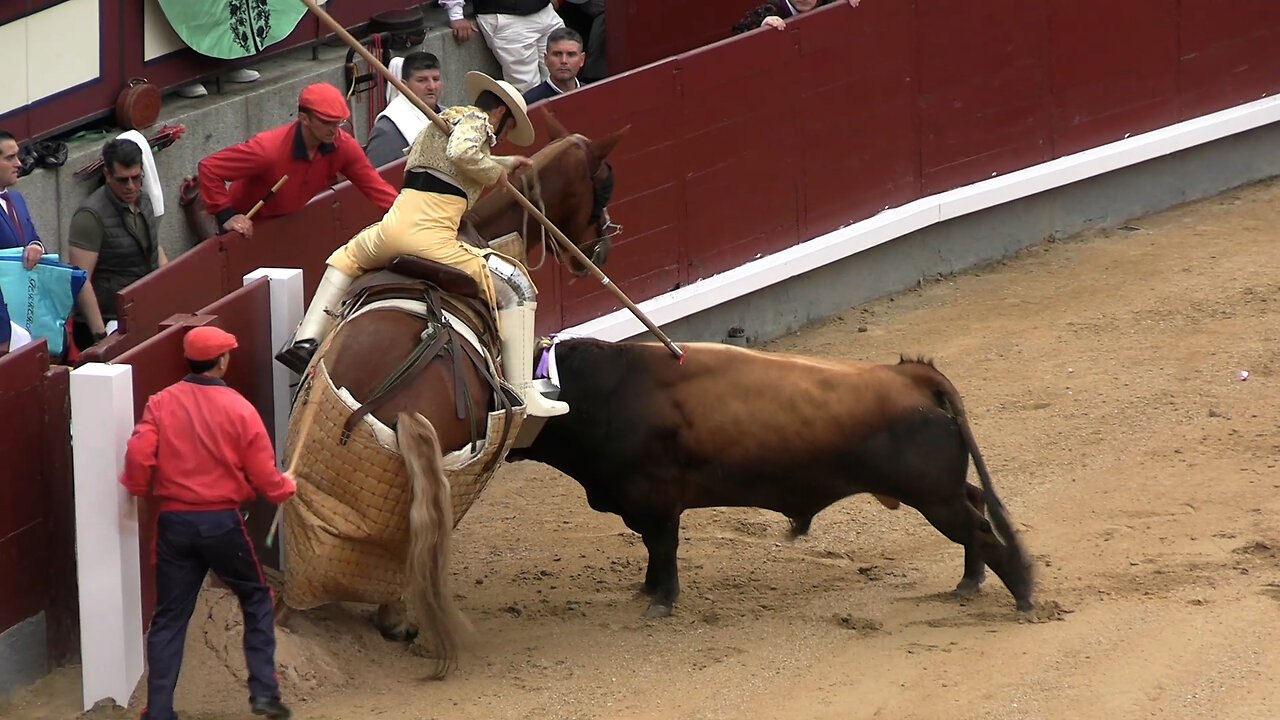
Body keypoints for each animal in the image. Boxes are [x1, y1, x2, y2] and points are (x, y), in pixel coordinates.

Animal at [504, 338, 1034, 614]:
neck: (599, 393)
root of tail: (908, 375)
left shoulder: (657, 500)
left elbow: (663, 547)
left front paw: (662, 601)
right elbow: (654, 551)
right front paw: (648, 591)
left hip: (932, 495)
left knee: (979, 527)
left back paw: (1024, 595)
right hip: (941, 490)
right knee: (976, 506)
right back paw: (970, 583)